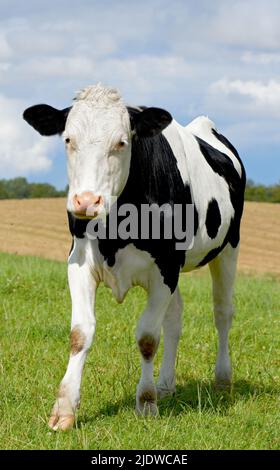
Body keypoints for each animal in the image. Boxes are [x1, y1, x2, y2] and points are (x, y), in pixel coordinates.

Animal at [23, 83, 245, 430]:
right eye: (68, 139)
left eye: (121, 141)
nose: (86, 201)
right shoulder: (79, 263)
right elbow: (80, 333)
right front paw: (64, 409)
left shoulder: (165, 270)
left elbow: (147, 338)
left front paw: (146, 402)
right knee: (175, 317)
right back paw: (166, 384)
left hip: (228, 248)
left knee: (222, 312)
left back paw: (222, 380)